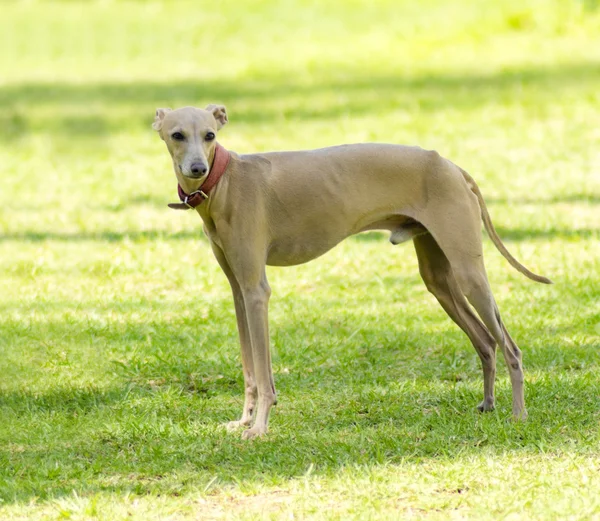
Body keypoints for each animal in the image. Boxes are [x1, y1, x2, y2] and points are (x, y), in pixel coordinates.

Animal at [152, 103, 552, 436]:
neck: (227, 180)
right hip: (439, 280)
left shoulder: (256, 290)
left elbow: (264, 374)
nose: (198, 168)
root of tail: (453, 167)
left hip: (469, 274)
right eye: (177, 135)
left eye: (210, 135)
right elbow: (250, 368)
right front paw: (244, 421)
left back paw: (518, 415)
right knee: (485, 341)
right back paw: (488, 403)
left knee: (510, 347)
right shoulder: (239, 291)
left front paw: (260, 428)